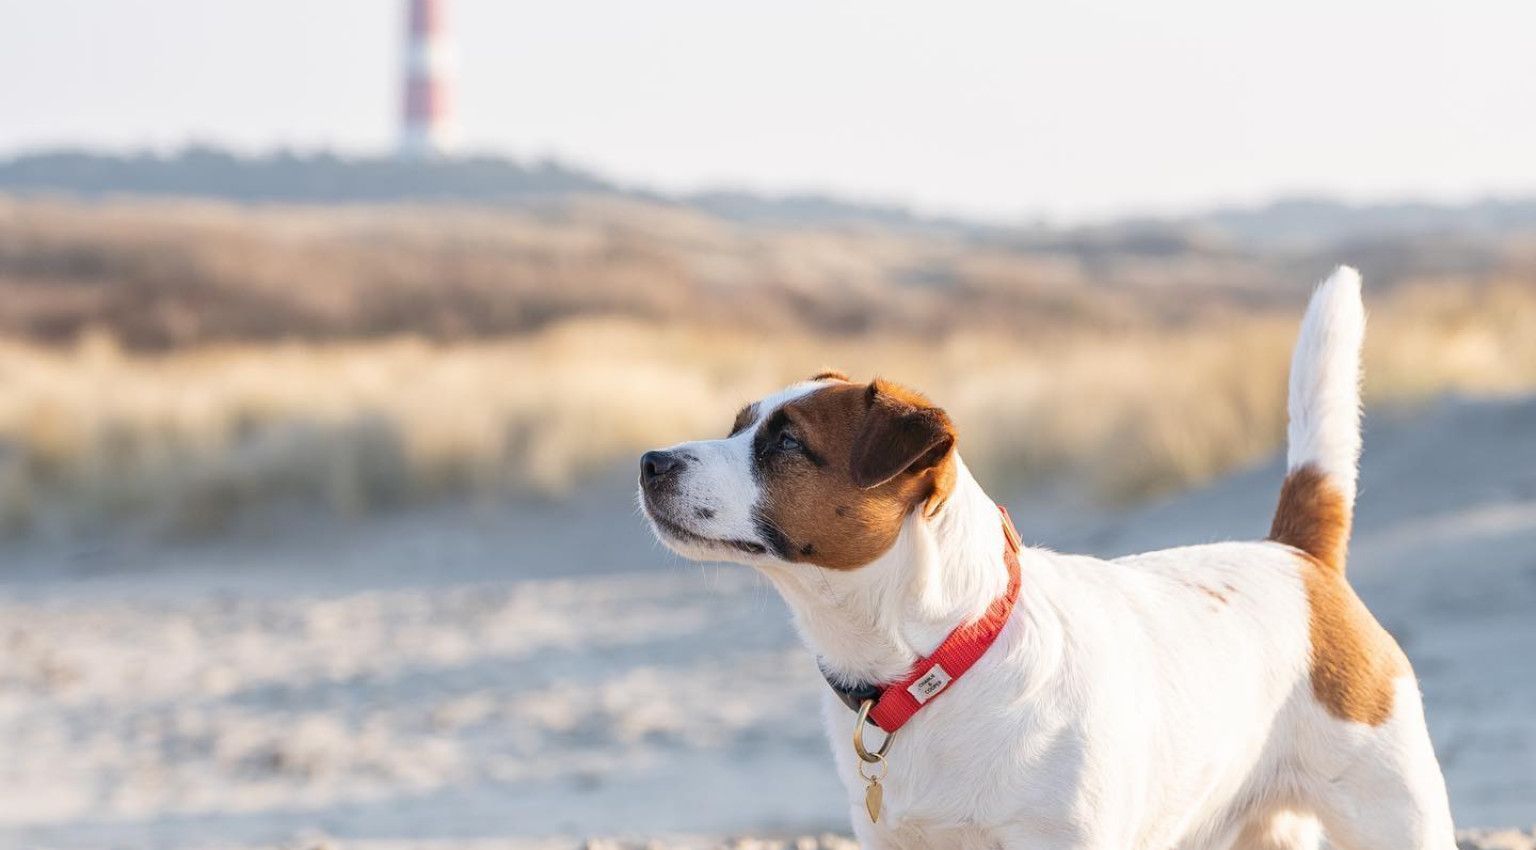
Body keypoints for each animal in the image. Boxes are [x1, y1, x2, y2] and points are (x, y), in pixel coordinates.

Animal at [635, 267, 1449, 848]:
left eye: (785, 443)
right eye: (738, 424)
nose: (648, 462)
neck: (935, 661)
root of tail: (1298, 556)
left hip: (1395, 815)